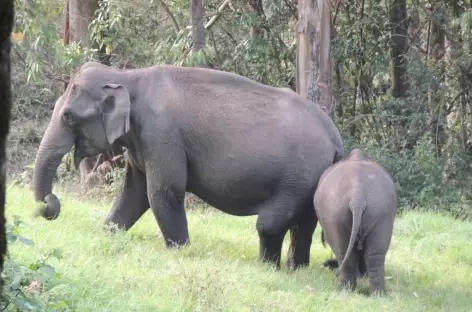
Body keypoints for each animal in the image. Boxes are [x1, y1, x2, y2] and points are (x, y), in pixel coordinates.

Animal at [33, 62, 342, 270]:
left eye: (69, 116)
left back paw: (267, 269)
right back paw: (295, 269)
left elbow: (163, 193)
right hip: (310, 180)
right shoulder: (141, 143)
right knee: (303, 224)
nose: (50, 205)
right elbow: (134, 195)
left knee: (270, 225)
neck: (128, 75)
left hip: (297, 177)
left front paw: (179, 253)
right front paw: (108, 235)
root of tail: (335, 136)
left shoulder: (161, 134)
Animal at [314, 149, 398, 294]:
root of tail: (357, 196)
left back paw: (346, 290)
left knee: (344, 252)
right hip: (380, 211)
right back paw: (378, 294)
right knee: (375, 256)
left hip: (337, 214)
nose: (327, 264)